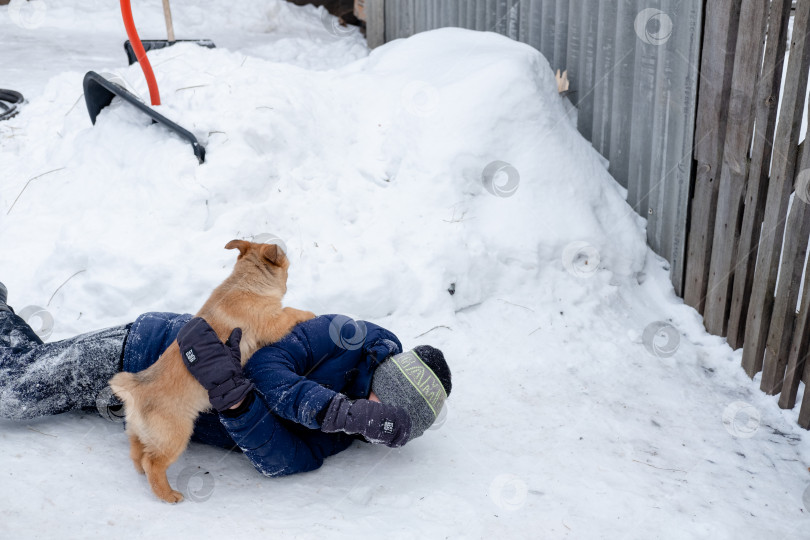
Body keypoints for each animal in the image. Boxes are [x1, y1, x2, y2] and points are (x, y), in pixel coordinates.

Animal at [110, 239, 316, 502]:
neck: (245, 280)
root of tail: (136, 391)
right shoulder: (273, 323)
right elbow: (290, 311)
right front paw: (309, 314)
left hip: (139, 431)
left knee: (137, 452)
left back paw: (141, 473)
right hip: (175, 436)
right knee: (153, 463)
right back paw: (168, 495)